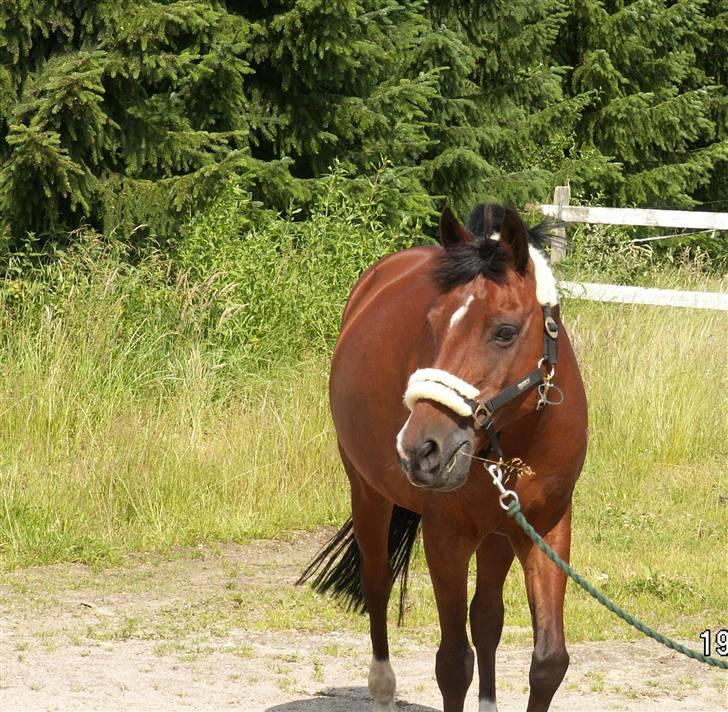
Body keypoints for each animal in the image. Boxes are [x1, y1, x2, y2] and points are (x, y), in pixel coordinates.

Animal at [298, 203, 588, 708]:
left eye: (505, 331)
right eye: (431, 325)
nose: (420, 449)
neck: (519, 440)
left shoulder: (546, 527)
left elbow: (548, 661)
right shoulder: (445, 537)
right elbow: (453, 664)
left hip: (497, 533)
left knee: (487, 616)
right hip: (368, 493)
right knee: (377, 581)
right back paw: (382, 687)